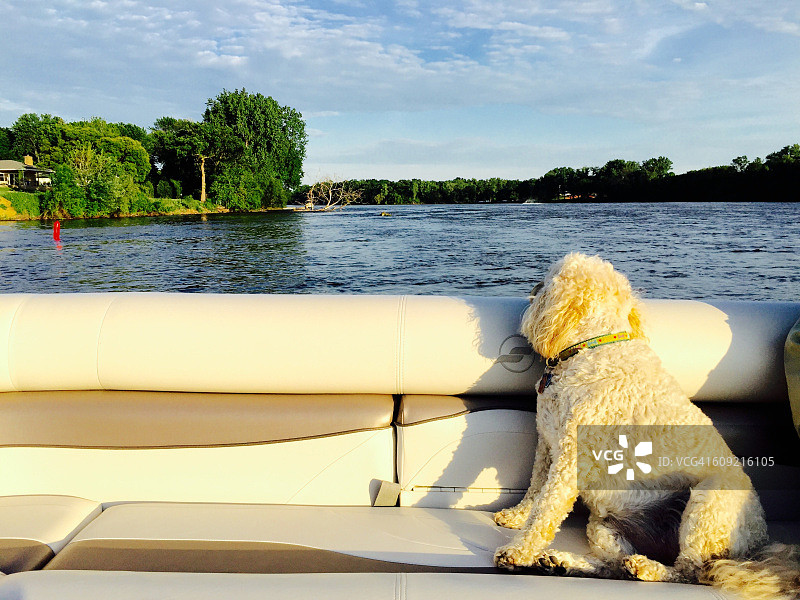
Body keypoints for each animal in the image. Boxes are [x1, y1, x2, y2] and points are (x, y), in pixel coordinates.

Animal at [493, 253, 799, 599]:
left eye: (548, 280)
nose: (532, 290)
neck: (595, 346)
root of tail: (759, 544)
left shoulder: (570, 460)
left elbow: (545, 511)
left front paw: (517, 552)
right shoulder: (547, 444)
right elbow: (534, 490)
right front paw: (516, 516)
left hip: (708, 503)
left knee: (689, 571)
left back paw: (644, 568)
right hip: (605, 526)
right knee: (614, 565)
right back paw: (566, 563)